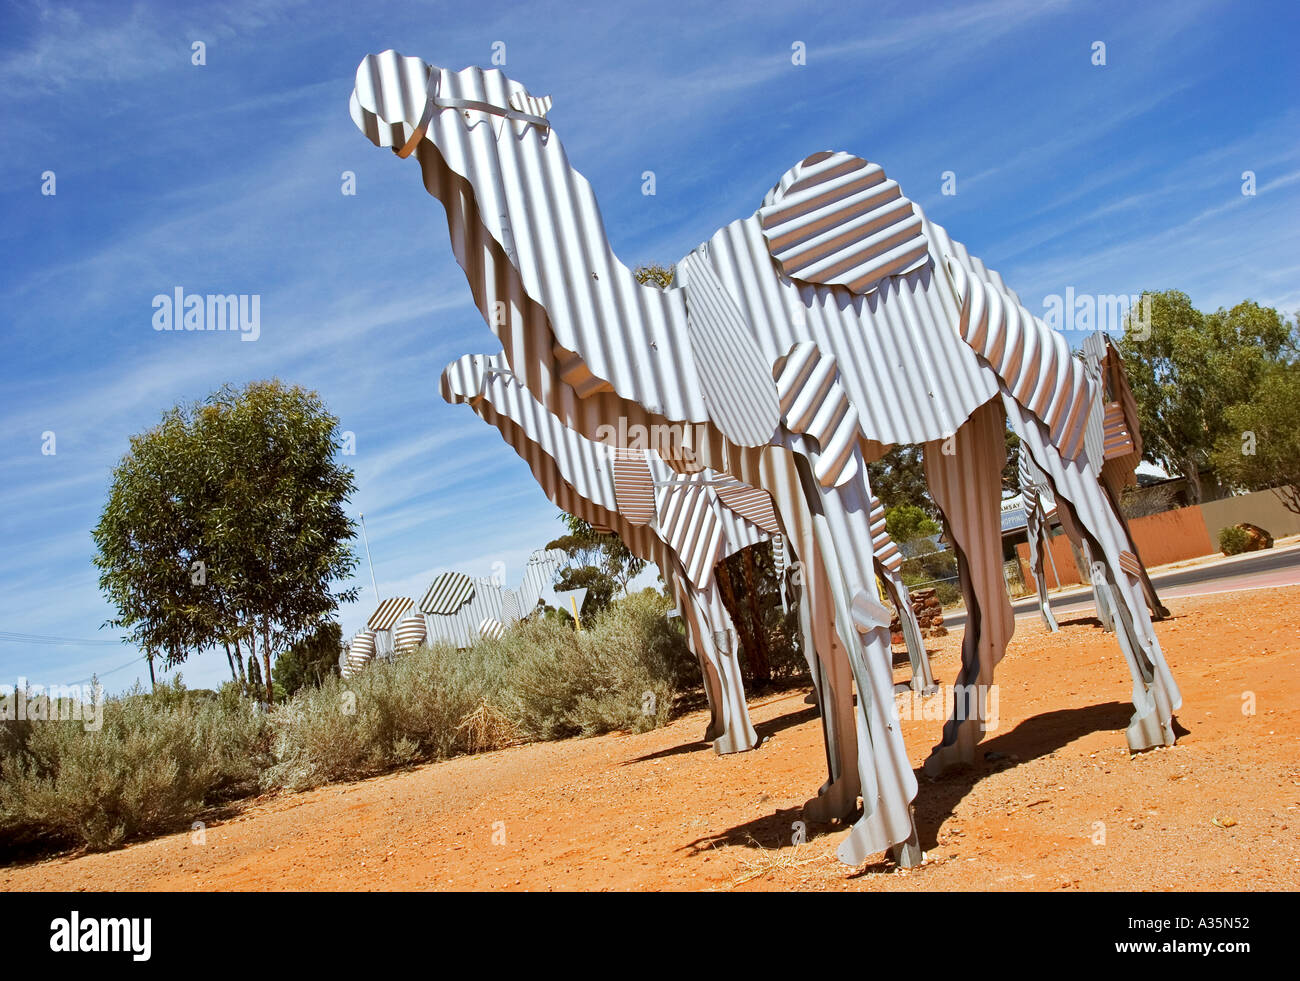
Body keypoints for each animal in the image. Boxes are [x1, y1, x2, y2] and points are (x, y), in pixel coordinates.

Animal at [349, 51, 1182, 866]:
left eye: (481, 101)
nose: (369, 91)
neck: (678, 343)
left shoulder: (814, 430)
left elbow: (838, 619)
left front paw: (884, 836)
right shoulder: (775, 480)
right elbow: (814, 627)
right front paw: (834, 799)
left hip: (1022, 379)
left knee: (1093, 529)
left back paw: (1152, 722)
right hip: (960, 432)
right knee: (990, 581)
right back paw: (957, 745)